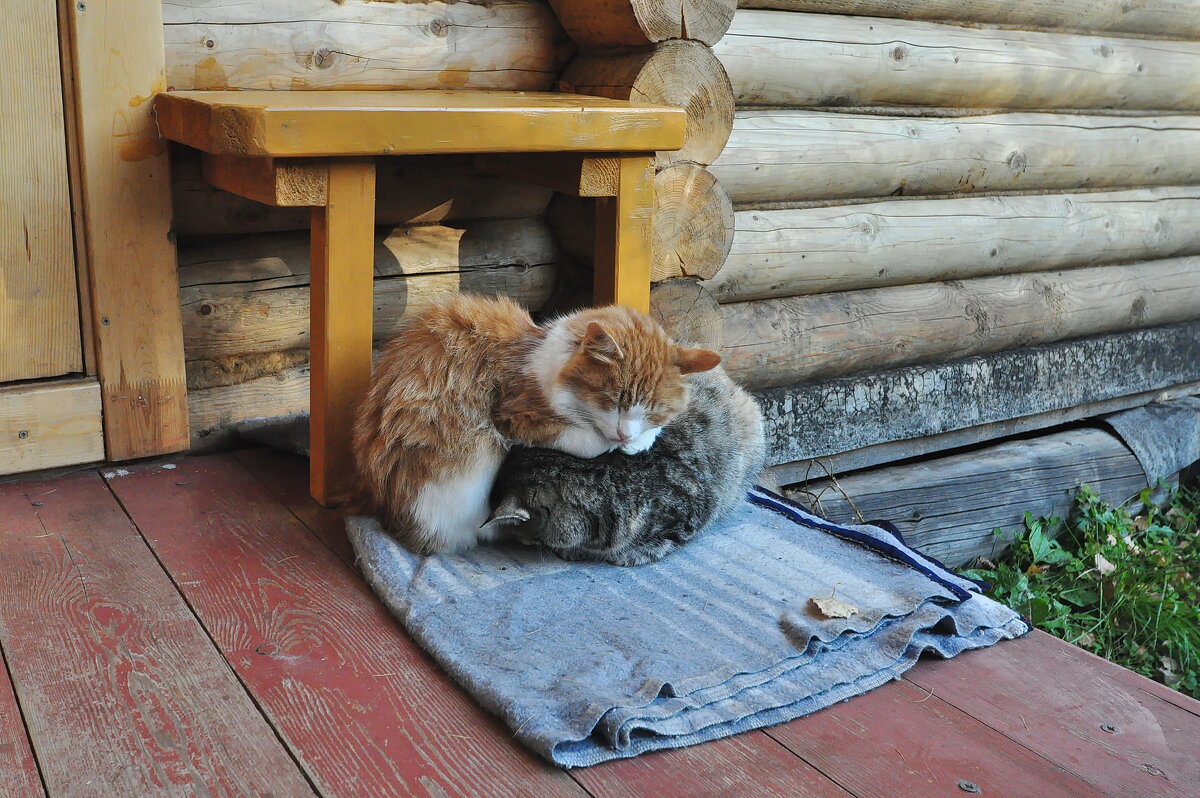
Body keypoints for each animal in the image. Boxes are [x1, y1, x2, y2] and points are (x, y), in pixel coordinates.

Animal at [350, 292, 715, 554]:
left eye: (652, 410)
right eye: (612, 401)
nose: (624, 436)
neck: (537, 354)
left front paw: (641, 439)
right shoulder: (515, 415)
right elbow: (583, 439)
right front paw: (612, 442)